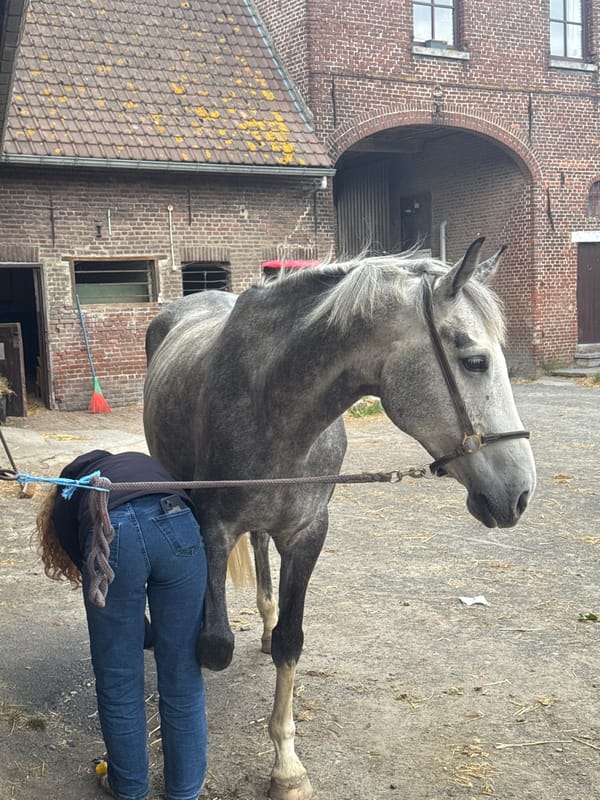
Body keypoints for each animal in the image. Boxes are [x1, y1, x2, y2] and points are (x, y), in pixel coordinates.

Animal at [143, 237, 536, 800]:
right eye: (476, 361)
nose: (519, 493)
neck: (272, 405)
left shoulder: (307, 534)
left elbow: (291, 641)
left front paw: (287, 767)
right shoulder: (212, 528)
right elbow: (213, 645)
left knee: (262, 556)